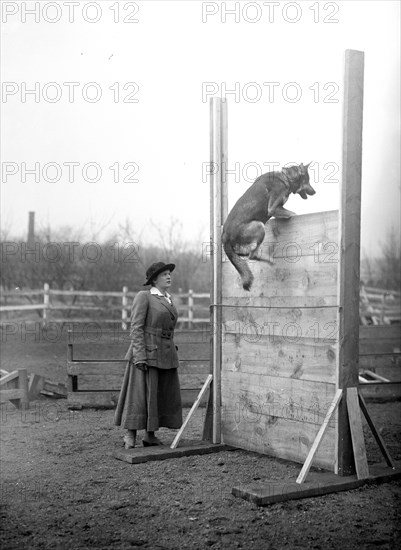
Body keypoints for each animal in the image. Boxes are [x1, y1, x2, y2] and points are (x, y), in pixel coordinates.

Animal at [220, 164, 314, 292]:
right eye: (307, 180)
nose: (314, 192)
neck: (286, 178)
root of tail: (225, 235)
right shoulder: (273, 208)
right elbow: (293, 213)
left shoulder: (277, 210)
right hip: (259, 226)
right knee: (252, 255)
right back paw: (269, 259)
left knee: (244, 254)